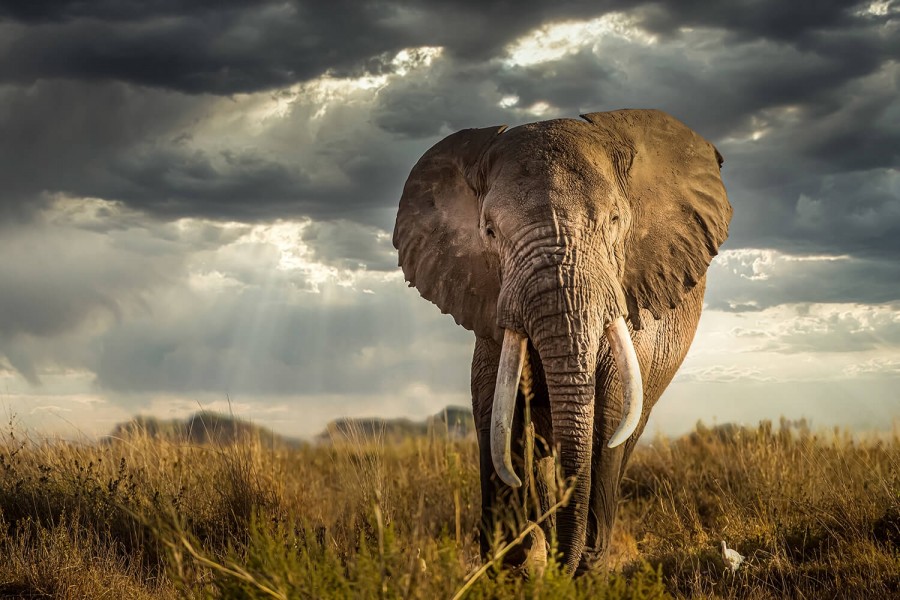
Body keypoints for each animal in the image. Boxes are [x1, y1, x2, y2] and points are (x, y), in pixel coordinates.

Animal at [392, 109, 732, 573]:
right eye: (489, 231)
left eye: (615, 221)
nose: (563, 564)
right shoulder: (489, 299)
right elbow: (494, 405)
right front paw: (513, 557)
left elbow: (609, 412)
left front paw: (581, 564)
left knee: (625, 433)